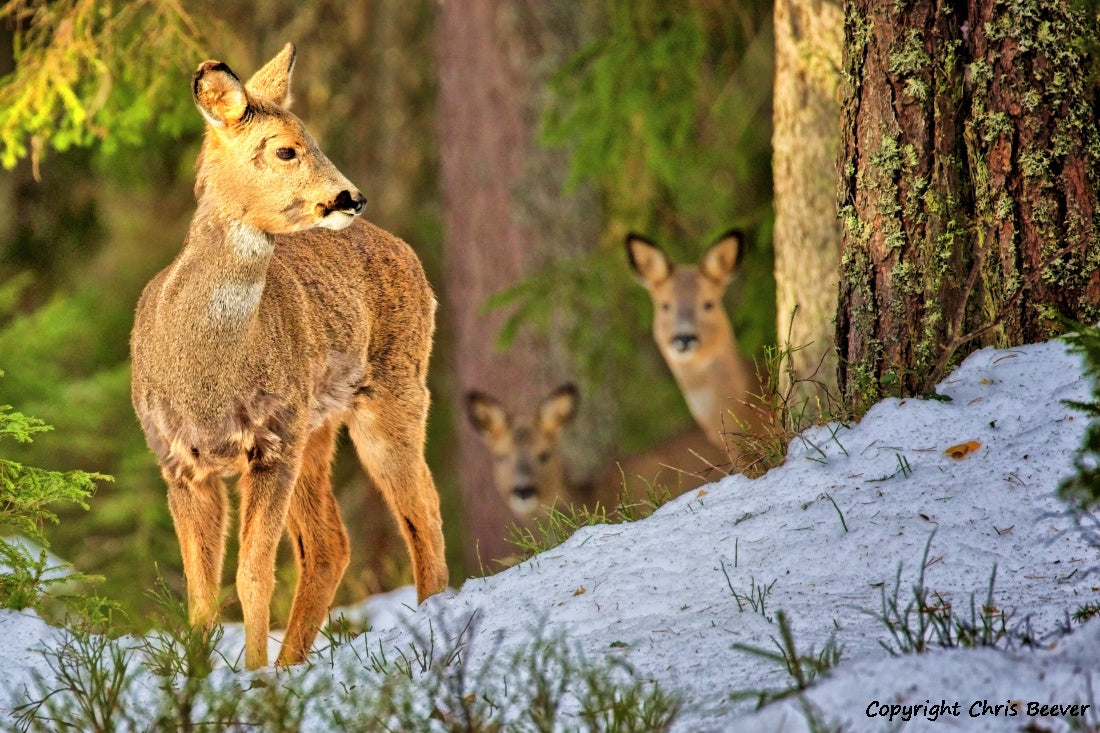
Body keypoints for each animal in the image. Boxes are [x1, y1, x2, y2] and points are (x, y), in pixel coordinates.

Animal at [132, 41, 446, 669]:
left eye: (314, 137)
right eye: (286, 148)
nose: (352, 196)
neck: (206, 375)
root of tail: (404, 250)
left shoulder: (271, 444)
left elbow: (252, 576)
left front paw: (251, 676)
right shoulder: (178, 462)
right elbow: (201, 593)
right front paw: (198, 681)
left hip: (394, 391)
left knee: (423, 508)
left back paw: (433, 621)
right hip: (316, 425)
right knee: (332, 543)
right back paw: (293, 662)